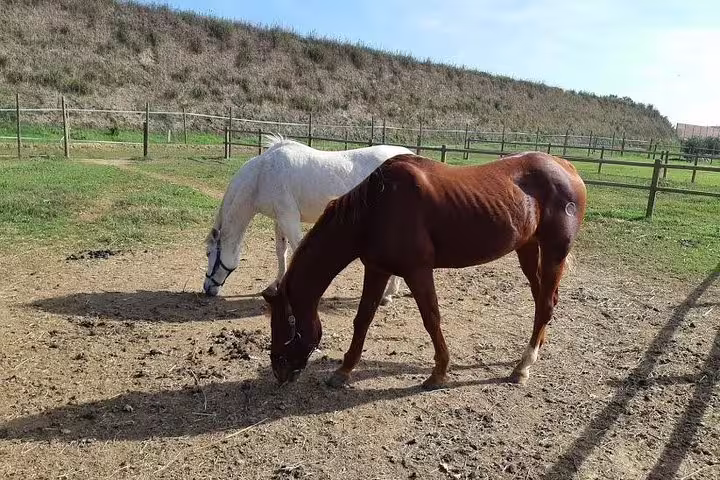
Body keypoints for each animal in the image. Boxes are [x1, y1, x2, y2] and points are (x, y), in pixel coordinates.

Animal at [203, 135, 412, 303]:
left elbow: (297, 249)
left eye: (208, 253)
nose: (207, 289)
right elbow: (281, 251)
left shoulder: (289, 219)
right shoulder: (279, 219)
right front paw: (276, 284)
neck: (262, 176)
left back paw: (388, 294)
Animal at [262, 151, 587, 389]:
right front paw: (344, 370)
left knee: (545, 305)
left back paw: (523, 366)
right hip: (528, 249)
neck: (376, 208)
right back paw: (535, 350)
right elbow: (363, 318)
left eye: (288, 321)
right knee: (542, 299)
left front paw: (439, 372)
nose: (279, 369)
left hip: (554, 253)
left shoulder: (418, 271)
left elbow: (431, 318)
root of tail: (566, 167)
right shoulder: (377, 269)